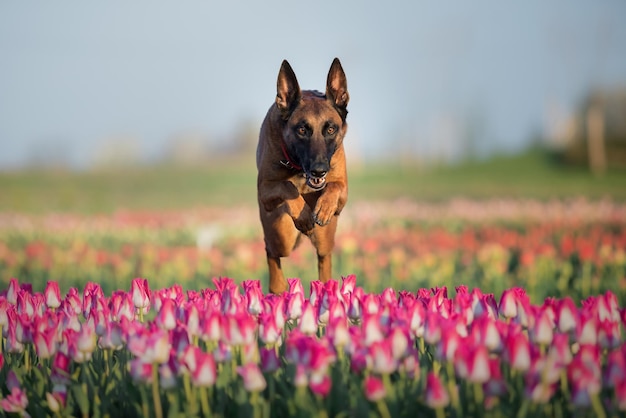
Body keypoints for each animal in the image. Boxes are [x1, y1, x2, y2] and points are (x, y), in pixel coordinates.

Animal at [256, 58, 348, 294]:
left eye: (330, 129)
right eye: (302, 130)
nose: (319, 170)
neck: (299, 168)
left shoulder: (343, 192)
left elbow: (334, 186)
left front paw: (323, 207)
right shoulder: (265, 190)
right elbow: (287, 186)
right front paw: (304, 215)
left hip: (325, 240)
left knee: (324, 260)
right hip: (281, 236)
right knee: (271, 251)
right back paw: (278, 286)